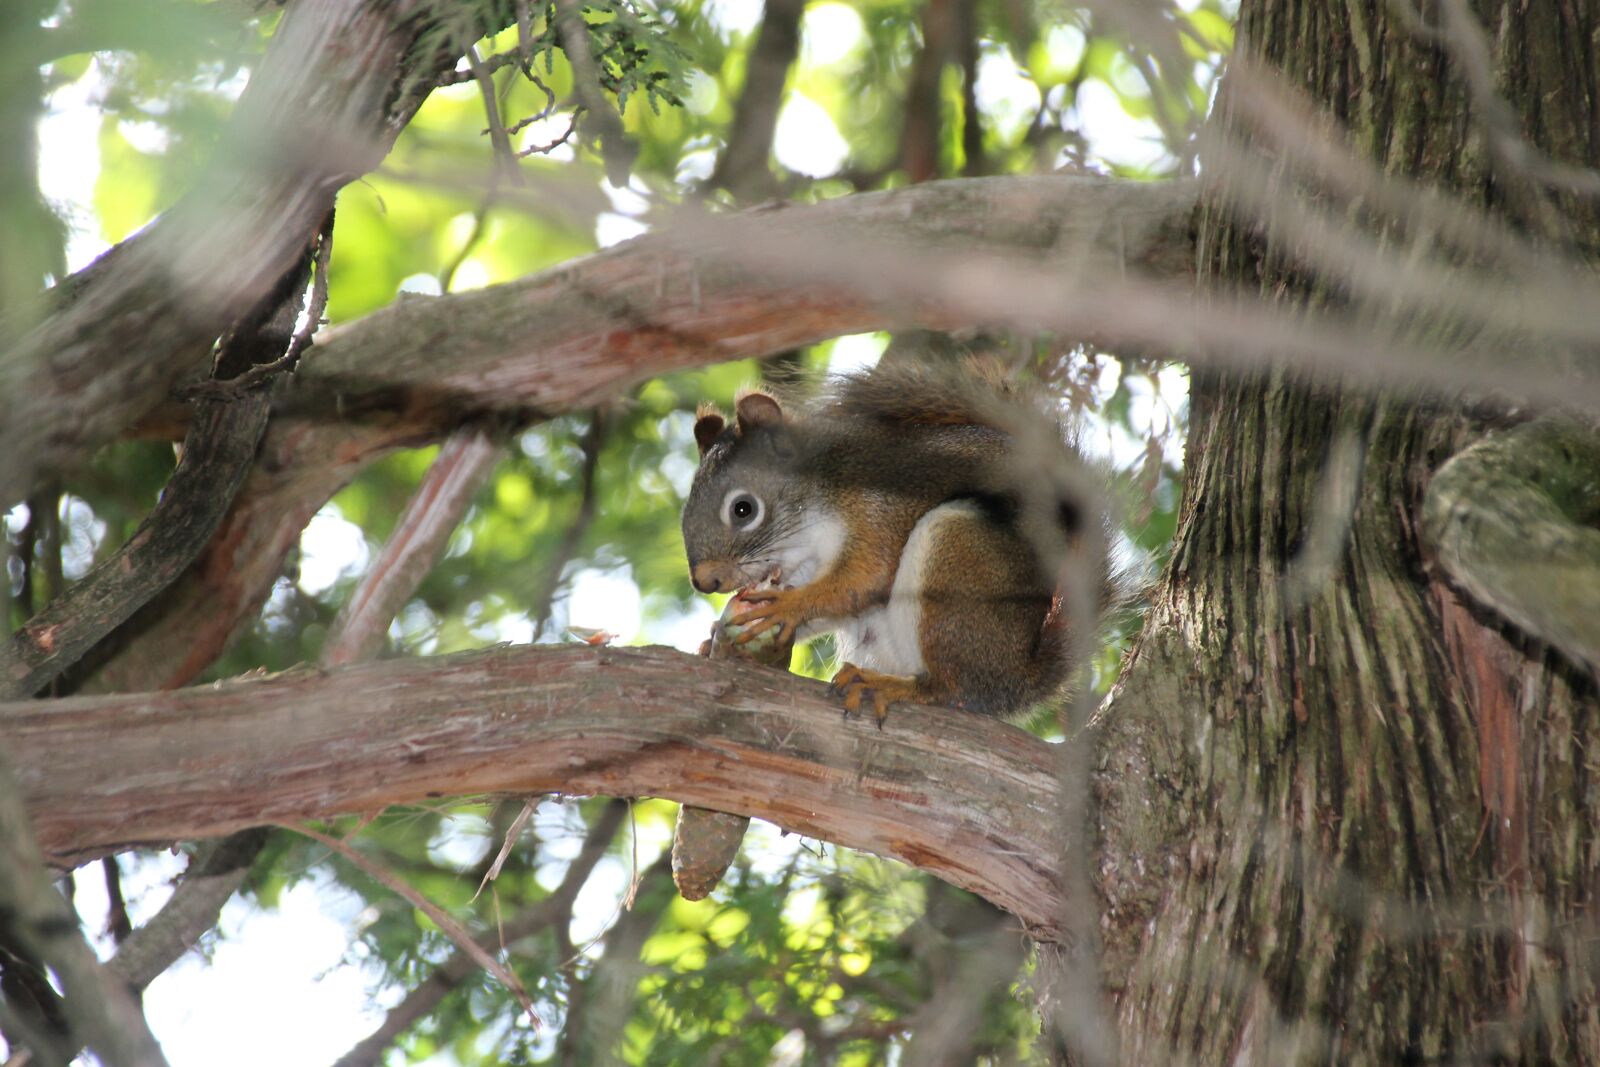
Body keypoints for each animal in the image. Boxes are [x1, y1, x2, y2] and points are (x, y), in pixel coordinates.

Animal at [681, 360, 1107, 722]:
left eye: (743, 509)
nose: (705, 582)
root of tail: (1021, 676)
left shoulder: (879, 509)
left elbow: (864, 577)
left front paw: (787, 607)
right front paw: (717, 636)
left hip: (959, 558)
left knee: (951, 688)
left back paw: (887, 685)